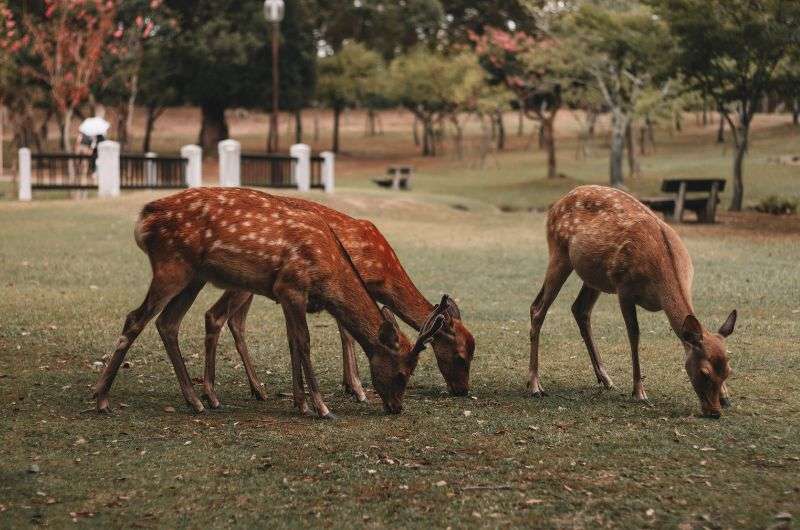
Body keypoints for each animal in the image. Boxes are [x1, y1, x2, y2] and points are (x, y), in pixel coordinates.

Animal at [92, 187, 444, 416]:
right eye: (403, 372)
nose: (397, 408)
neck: (330, 272)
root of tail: (143, 220)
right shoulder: (293, 286)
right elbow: (304, 341)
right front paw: (321, 407)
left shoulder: (288, 294)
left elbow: (292, 342)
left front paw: (301, 403)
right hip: (172, 266)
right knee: (136, 318)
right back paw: (101, 399)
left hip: (194, 276)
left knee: (168, 323)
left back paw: (197, 400)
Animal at [202, 196, 476, 406]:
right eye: (461, 357)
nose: (463, 390)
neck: (385, 273)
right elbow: (347, 334)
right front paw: (357, 389)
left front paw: (348, 385)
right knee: (217, 316)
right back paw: (215, 394)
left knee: (235, 321)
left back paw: (256, 390)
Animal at [528, 186, 740, 416]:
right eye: (704, 373)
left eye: (728, 370)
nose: (715, 411)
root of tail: (556, 205)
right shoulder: (624, 289)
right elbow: (634, 335)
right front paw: (639, 391)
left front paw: (727, 395)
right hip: (559, 253)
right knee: (537, 308)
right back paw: (535, 385)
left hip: (595, 276)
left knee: (580, 309)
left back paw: (605, 378)